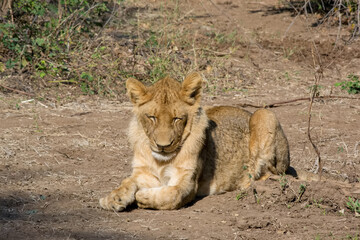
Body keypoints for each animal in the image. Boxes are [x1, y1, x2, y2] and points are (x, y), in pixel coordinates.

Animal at [98, 72, 290, 211]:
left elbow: (172, 195)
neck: (161, 161)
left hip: (264, 114)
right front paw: (113, 198)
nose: (162, 146)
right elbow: (127, 182)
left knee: (271, 173)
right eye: (152, 117)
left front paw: (143, 196)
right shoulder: (143, 173)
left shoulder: (187, 182)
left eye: (177, 119)